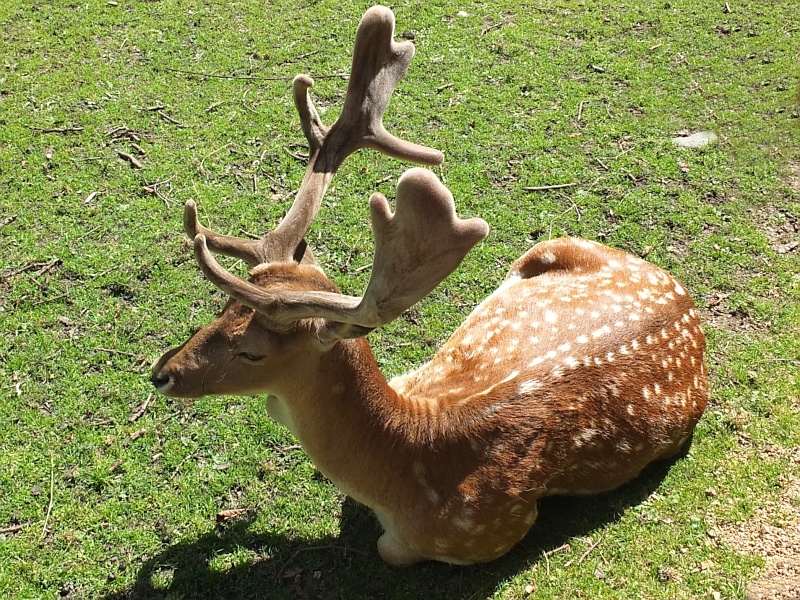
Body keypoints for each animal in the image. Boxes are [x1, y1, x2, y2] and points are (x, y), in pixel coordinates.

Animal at [148, 5, 708, 568]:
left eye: (253, 352)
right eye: (220, 310)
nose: (162, 375)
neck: (408, 461)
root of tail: (685, 300)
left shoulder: (480, 532)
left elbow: (388, 549)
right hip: (553, 244)